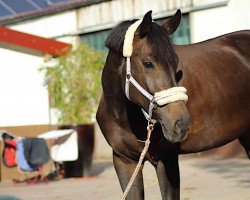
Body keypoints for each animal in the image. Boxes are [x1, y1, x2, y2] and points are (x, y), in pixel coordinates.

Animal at [96, 9, 250, 200]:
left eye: (175, 63)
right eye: (148, 63)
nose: (181, 123)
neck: (123, 117)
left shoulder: (166, 159)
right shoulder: (124, 161)